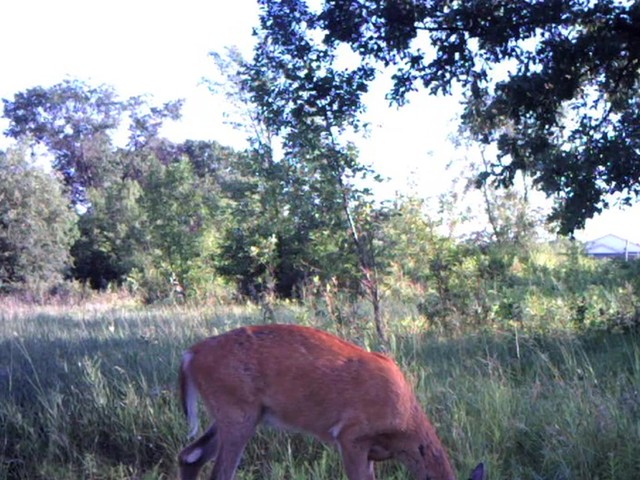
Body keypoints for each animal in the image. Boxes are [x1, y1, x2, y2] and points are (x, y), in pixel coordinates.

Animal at [176, 322, 484, 480]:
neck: (404, 425)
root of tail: (190, 354)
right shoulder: (351, 436)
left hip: (240, 413)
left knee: (190, 456)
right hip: (237, 409)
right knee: (217, 472)